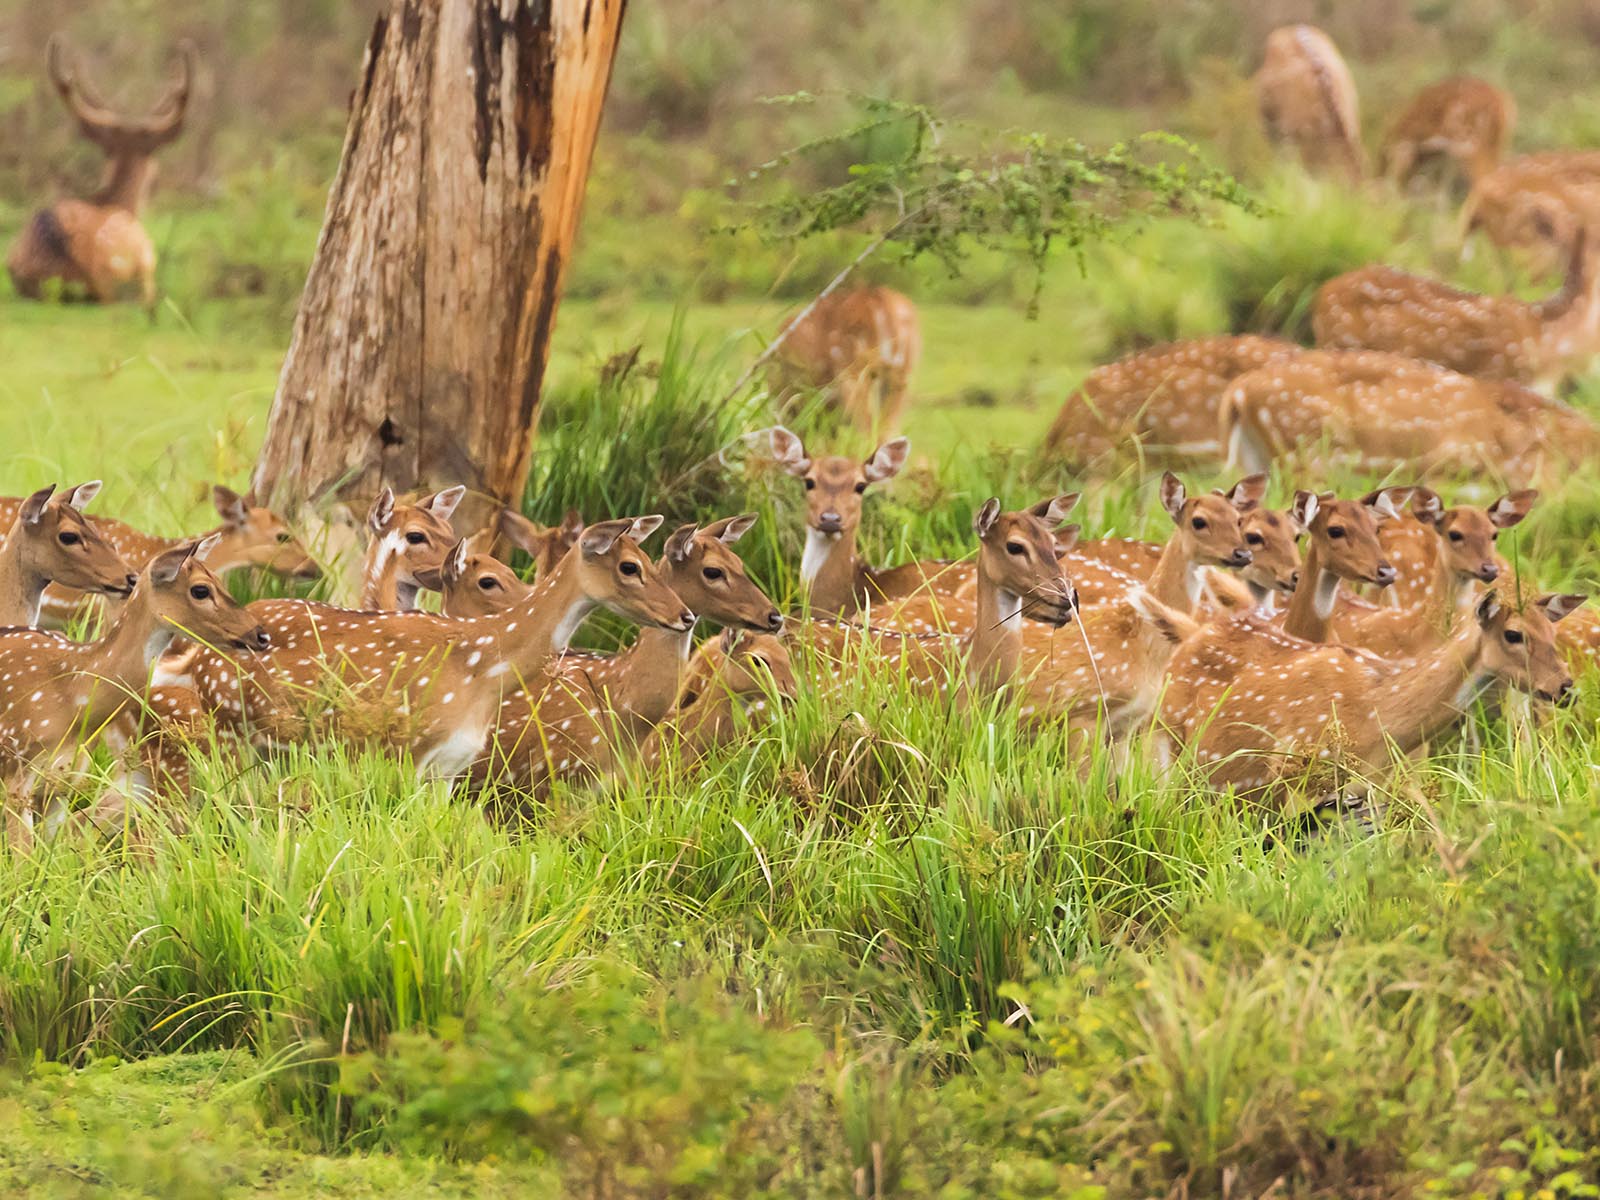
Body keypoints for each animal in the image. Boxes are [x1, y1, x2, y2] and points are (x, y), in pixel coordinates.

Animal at [0, 537, 269, 848]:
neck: (71, 697)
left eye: (219, 580)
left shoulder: (63, 781)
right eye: (201, 589)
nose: (261, 635)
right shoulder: (18, 772)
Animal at [156, 516, 693, 780]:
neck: (482, 667)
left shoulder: (451, 765)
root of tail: (194, 656)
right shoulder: (406, 749)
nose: (686, 616)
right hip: (231, 729)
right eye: (629, 566)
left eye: (653, 560)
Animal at [1157, 588, 1584, 810]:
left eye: (1552, 631)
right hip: (1170, 746)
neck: (1377, 722)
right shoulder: (1294, 775)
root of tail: (1189, 633)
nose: (1565, 686)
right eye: (1513, 634)